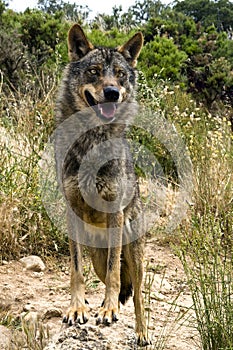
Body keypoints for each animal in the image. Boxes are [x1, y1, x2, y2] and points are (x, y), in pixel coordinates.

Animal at [54, 23, 149, 346]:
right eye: (94, 72)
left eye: (119, 74)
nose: (112, 92)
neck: (91, 141)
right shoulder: (71, 212)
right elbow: (75, 270)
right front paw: (77, 308)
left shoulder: (115, 212)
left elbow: (113, 275)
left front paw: (107, 309)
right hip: (96, 253)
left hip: (134, 255)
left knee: (138, 296)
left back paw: (141, 334)